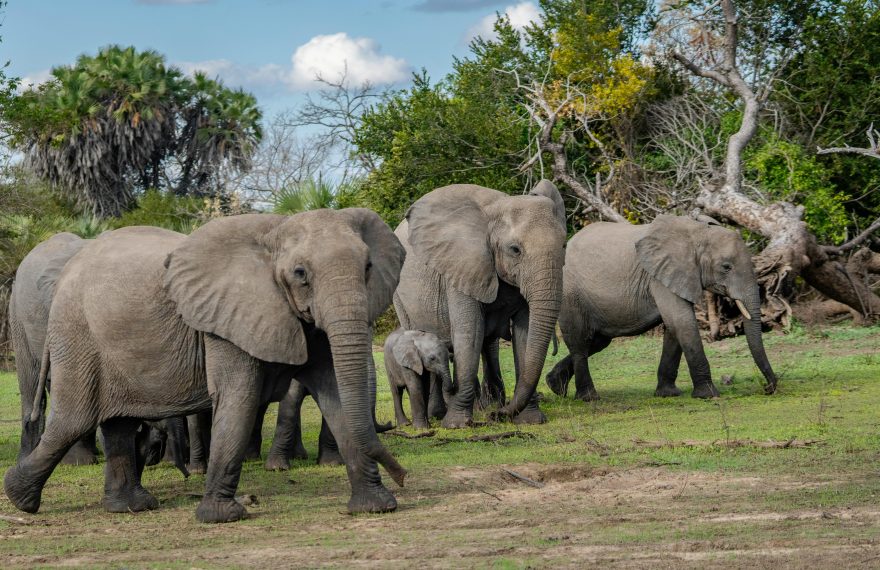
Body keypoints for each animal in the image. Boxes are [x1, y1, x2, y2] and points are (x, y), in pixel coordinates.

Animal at [4, 209, 407, 523]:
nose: (403, 476)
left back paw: (133, 507)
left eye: (368, 266)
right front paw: (222, 517)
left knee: (117, 422)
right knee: (74, 418)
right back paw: (18, 497)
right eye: (300, 273)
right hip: (76, 336)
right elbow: (239, 398)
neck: (275, 232)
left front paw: (376, 507)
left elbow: (336, 394)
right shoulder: (227, 320)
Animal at [394, 180, 567, 427]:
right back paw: (440, 414)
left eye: (564, 245)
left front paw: (530, 420)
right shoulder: (461, 264)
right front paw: (456, 424)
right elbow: (470, 331)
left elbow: (524, 334)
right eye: (515, 250)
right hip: (400, 297)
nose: (498, 416)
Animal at [545, 215, 778, 401]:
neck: (696, 233)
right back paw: (588, 398)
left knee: (597, 342)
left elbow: (674, 327)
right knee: (579, 341)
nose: (768, 388)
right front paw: (709, 395)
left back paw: (555, 386)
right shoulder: (659, 277)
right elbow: (682, 322)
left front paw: (668, 394)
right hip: (569, 293)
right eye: (726, 267)